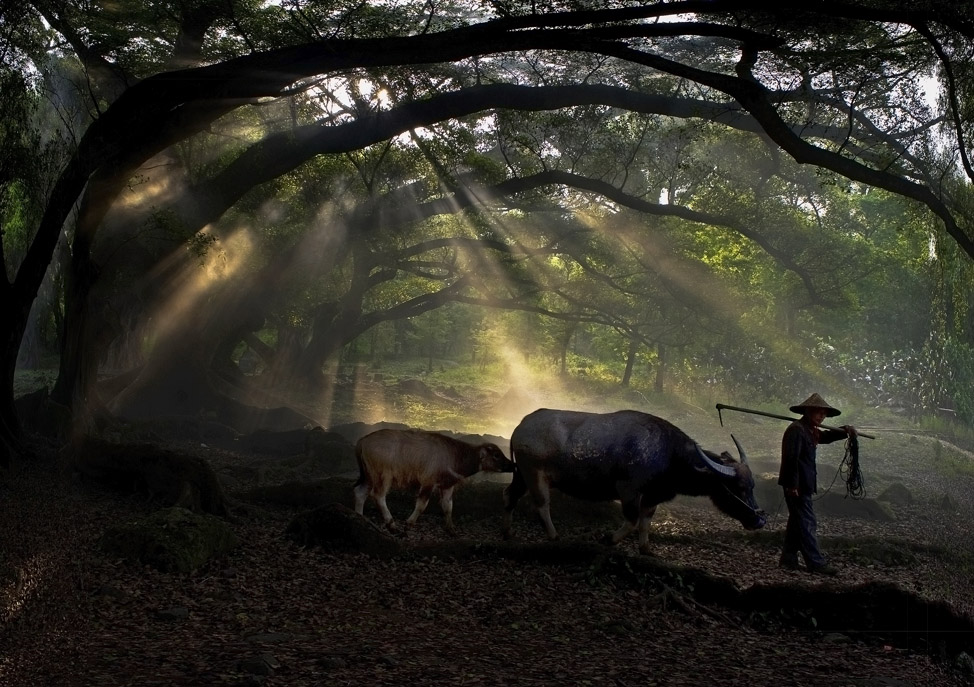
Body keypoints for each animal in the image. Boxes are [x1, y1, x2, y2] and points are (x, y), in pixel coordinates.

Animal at [504, 408, 772, 552]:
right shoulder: (629, 490)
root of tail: (521, 425)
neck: (669, 454)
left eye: (752, 486)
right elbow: (632, 520)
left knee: (510, 495)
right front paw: (608, 539)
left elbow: (646, 521)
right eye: (738, 487)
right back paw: (553, 535)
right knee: (542, 504)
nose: (759, 519)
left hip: (521, 475)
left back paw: (507, 528)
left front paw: (646, 549)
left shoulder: (653, 496)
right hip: (534, 474)